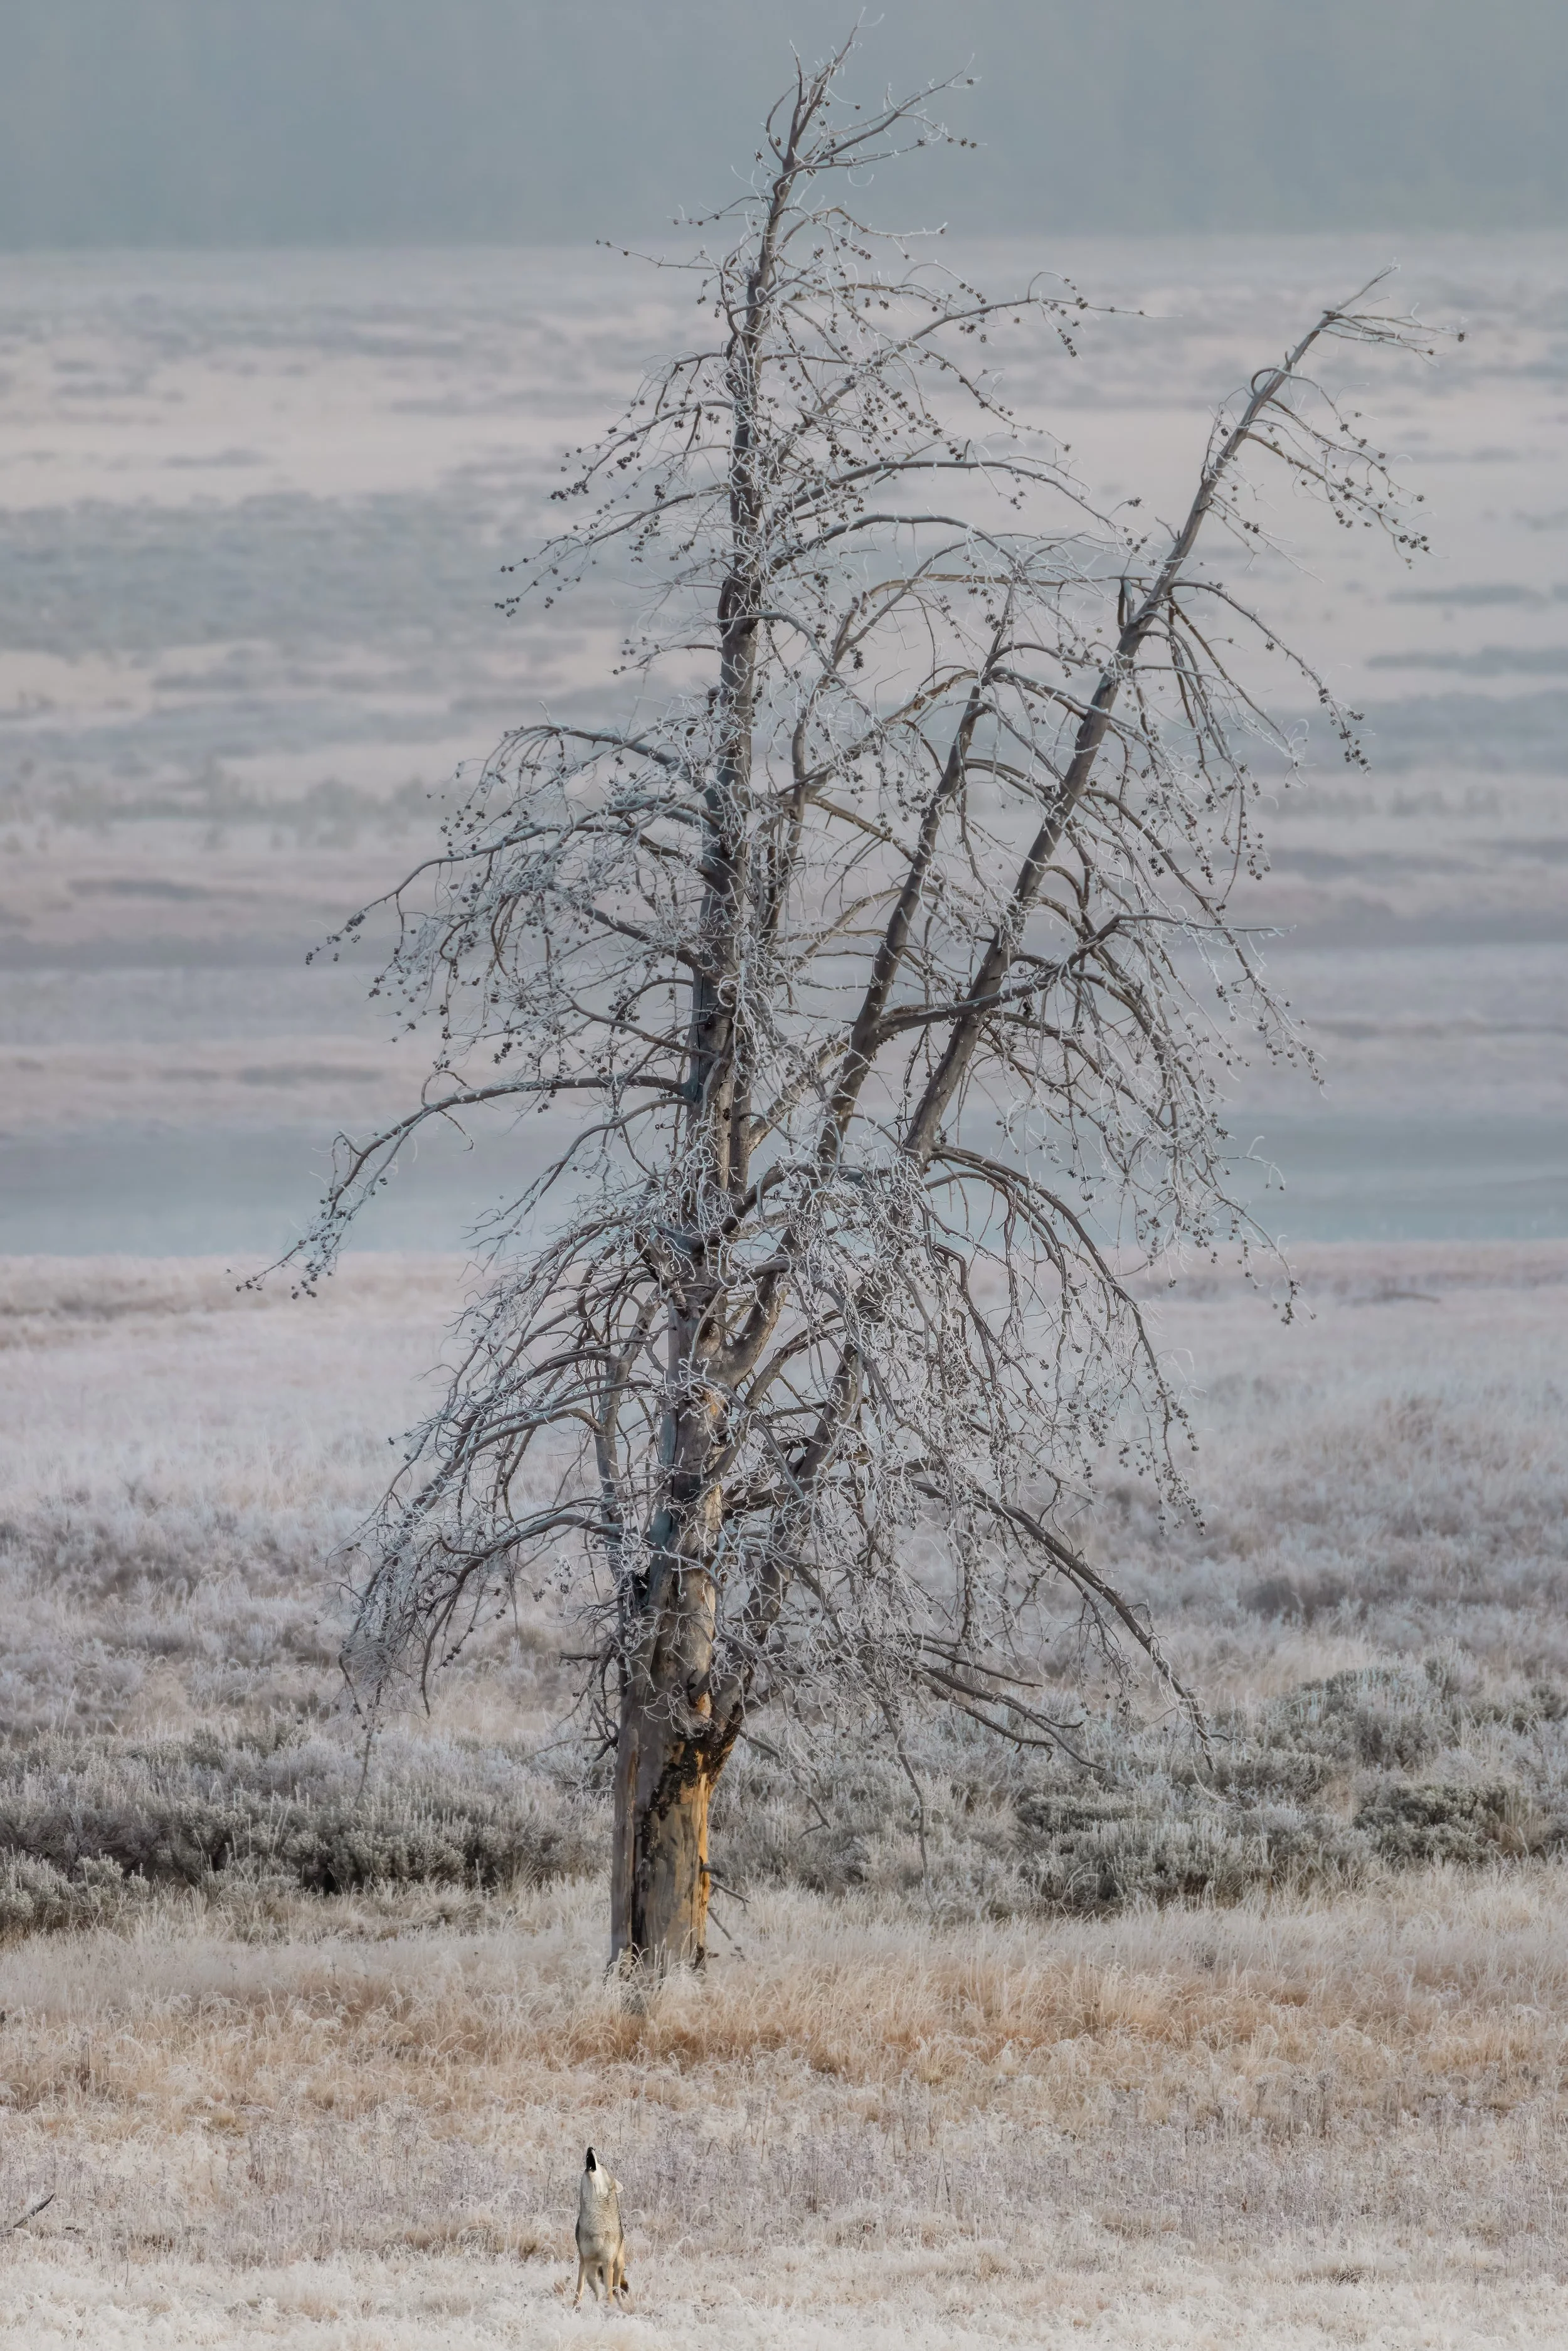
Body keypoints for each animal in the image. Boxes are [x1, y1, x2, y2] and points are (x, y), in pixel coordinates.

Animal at [573, 2146, 629, 2309]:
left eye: (602, 2164)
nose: (591, 2147)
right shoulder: (584, 2261)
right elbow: (578, 2293)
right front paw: (573, 2310)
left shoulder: (607, 2263)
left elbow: (610, 2295)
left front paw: (609, 2309)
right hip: (594, 2271)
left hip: (617, 2266)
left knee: (616, 2290)